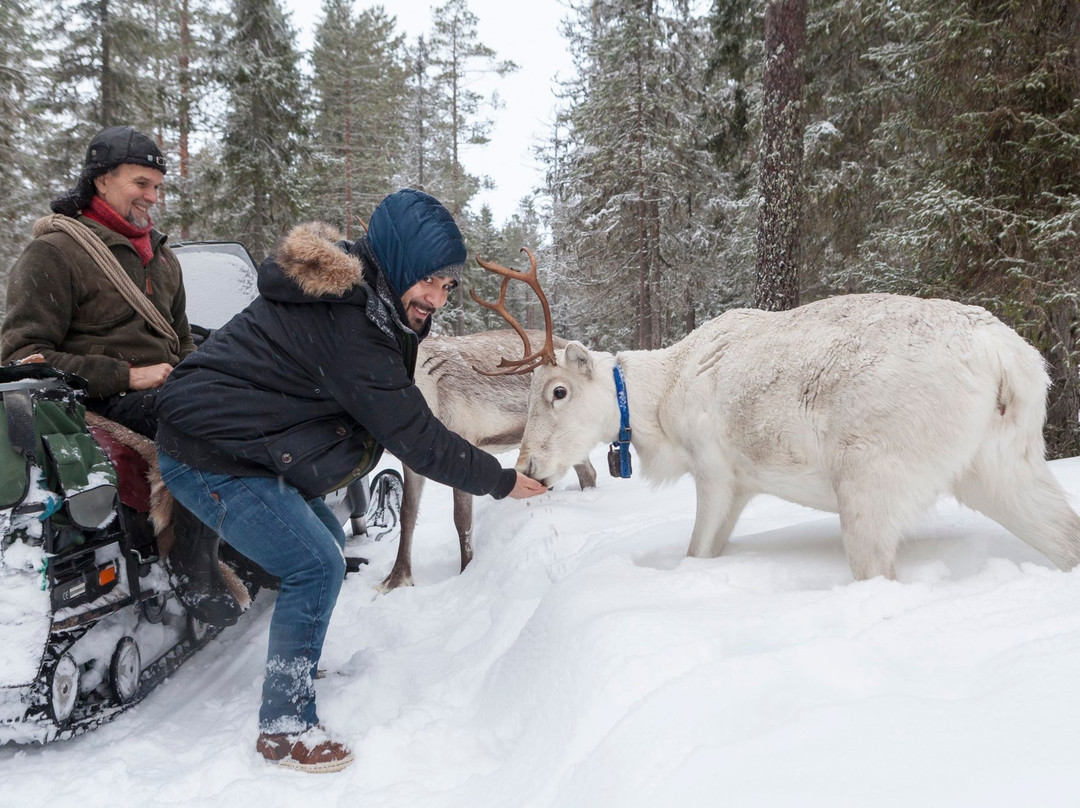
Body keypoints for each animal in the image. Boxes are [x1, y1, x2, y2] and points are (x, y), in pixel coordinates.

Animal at [378, 328, 597, 592]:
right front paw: (397, 578)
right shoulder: (413, 459)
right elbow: (407, 514)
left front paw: (465, 571)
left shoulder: (464, 439)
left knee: (588, 473)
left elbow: (462, 520)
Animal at [473, 251, 1080, 581]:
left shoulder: (714, 468)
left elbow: (695, 551)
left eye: (557, 391)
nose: (526, 468)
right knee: (1065, 535)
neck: (658, 404)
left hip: (872, 477)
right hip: (1003, 463)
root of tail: (1009, 359)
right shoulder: (744, 484)